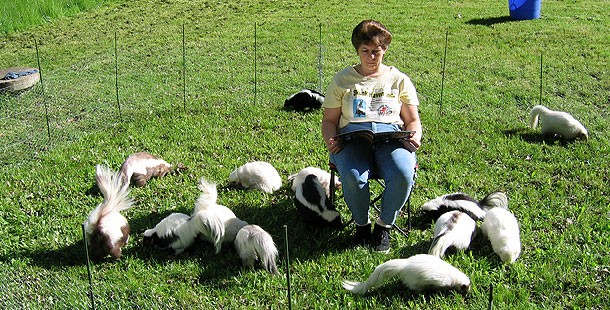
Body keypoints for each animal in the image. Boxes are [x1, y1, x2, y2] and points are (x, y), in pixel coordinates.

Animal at [342, 254, 470, 296]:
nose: (466, 294)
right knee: (414, 286)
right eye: (465, 288)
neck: (454, 276)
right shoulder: (443, 282)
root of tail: (405, 265)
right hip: (415, 280)